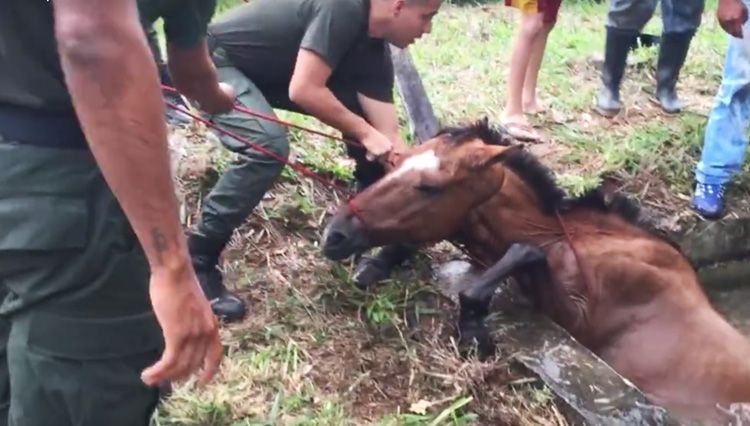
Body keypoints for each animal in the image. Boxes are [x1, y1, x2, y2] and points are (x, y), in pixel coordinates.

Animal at [321, 120, 750, 425]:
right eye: (393, 164)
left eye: (429, 187)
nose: (335, 234)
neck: (574, 239)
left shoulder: (582, 318)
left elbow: (521, 253)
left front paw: (474, 330)